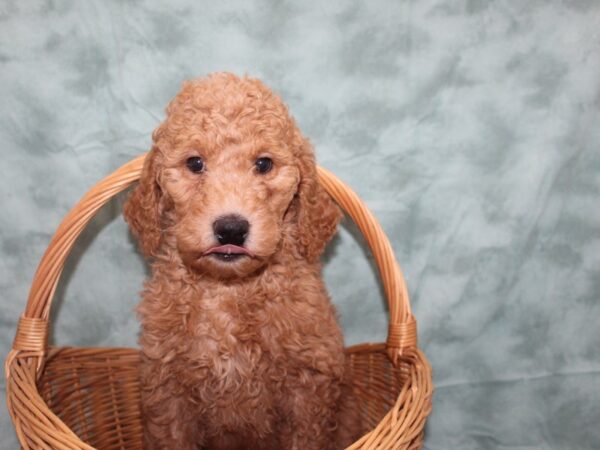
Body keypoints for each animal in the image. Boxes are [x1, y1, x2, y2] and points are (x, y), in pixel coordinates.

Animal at [122, 72, 356, 448]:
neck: (228, 290)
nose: (231, 228)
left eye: (264, 164)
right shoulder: (166, 388)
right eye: (195, 163)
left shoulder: (309, 389)